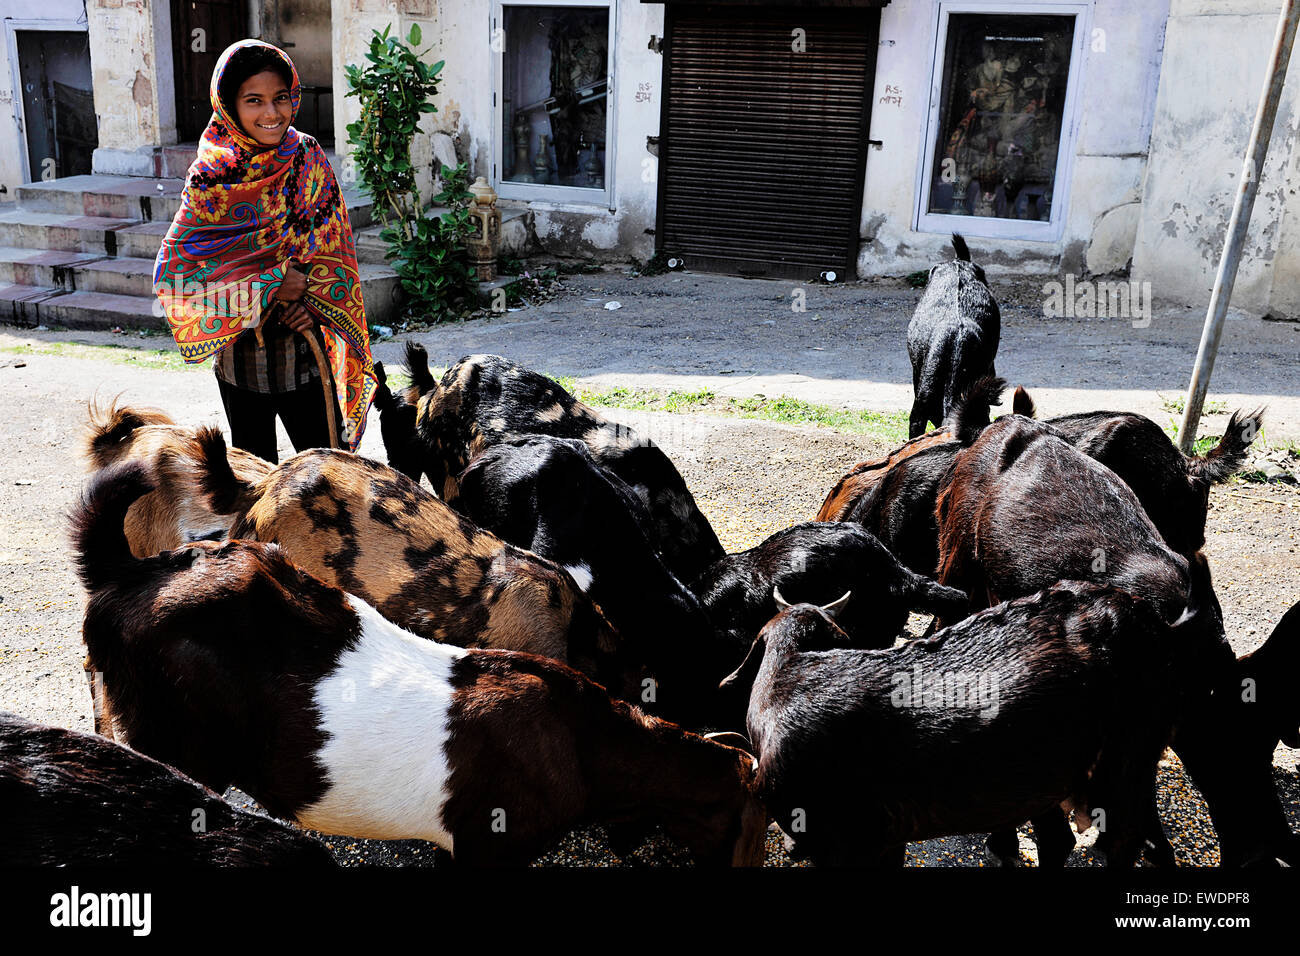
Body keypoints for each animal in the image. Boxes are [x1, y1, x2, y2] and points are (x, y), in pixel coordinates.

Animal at [728, 556, 1222, 868]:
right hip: (1046, 775)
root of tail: (1163, 627)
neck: (784, 681)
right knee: (1062, 840)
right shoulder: (886, 835)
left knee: (1125, 839)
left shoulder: (850, 840)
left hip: (1127, 755)